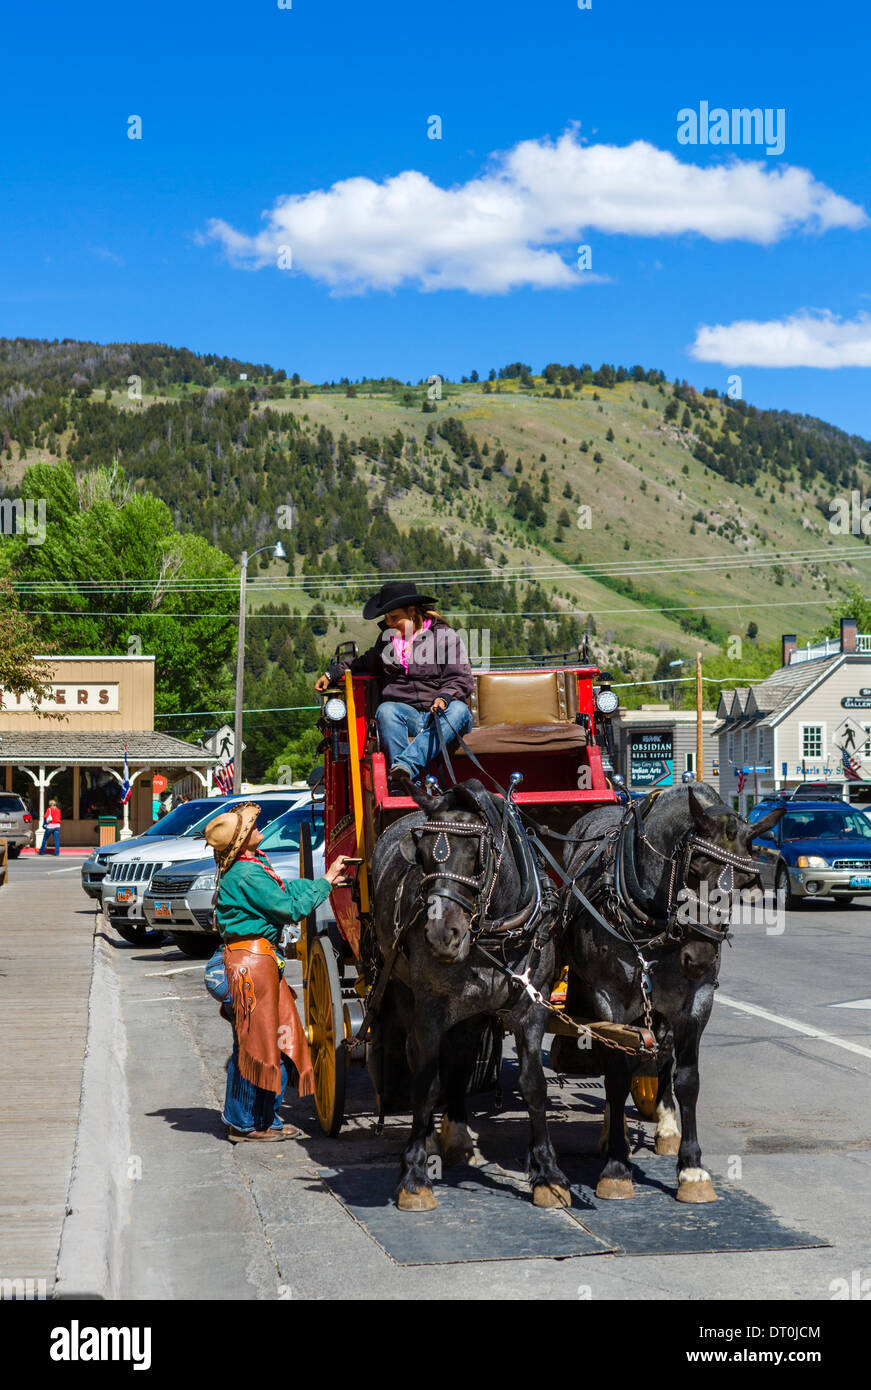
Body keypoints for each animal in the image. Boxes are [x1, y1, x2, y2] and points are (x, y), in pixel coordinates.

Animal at [369, 778, 569, 1212]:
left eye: (478, 857)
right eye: (423, 855)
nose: (441, 934)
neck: (493, 932)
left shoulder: (532, 1005)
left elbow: (533, 1084)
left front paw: (548, 1173)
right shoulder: (429, 1007)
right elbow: (426, 1084)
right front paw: (414, 1175)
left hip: (472, 1010)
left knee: (460, 1056)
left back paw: (458, 1136)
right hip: (405, 992)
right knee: (418, 1059)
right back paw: (428, 1140)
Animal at [561, 789, 789, 1200]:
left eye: (743, 882)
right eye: (695, 869)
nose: (699, 958)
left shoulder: (696, 1001)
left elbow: (687, 1078)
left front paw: (691, 1167)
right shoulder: (610, 999)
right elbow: (616, 1074)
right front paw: (616, 1166)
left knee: (662, 1053)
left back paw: (665, 1124)